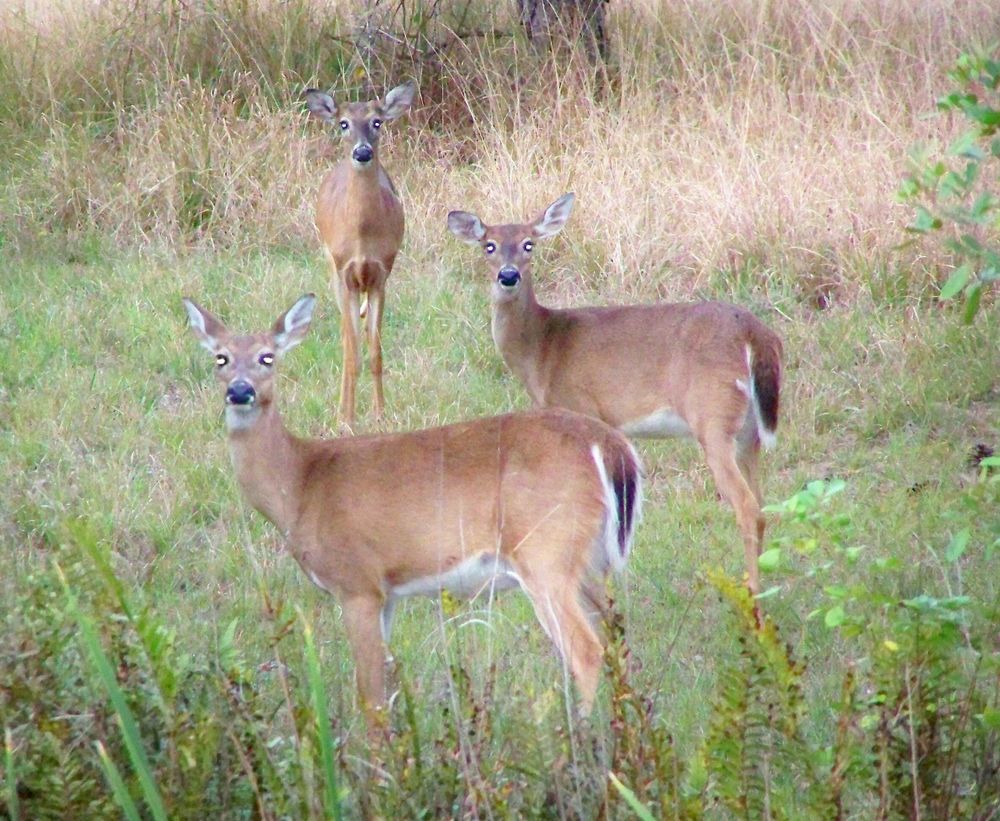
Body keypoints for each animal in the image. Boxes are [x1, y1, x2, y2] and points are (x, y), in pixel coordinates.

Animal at [183, 293, 642, 719]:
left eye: (268, 357)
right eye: (221, 358)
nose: (240, 391)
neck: (300, 485)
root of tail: (611, 447)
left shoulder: (357, 582)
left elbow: (370, 696)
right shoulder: (386, 593)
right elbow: (383, 684)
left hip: (545, 549)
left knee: (586, 651)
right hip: (586, 561)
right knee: (616, 639)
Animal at [304, 80, 416, 429]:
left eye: (376, 122)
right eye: (344, 124)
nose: (362, 151)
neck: (362, 237)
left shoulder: (381, 274)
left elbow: (375, 351)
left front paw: (380, 416)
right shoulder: (345, 273)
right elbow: (352, 353)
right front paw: (347, 421)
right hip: (332, 270)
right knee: (345, 340)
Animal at [447, 193, 783, 595]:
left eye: (529, 244)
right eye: (490, 245)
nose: (508, 275)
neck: (543, 350)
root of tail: (755, 335)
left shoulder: (582, 408)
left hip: (713, 414)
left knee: (747, 507)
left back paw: (753, 595)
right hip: (749, 430)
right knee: (763, 503)